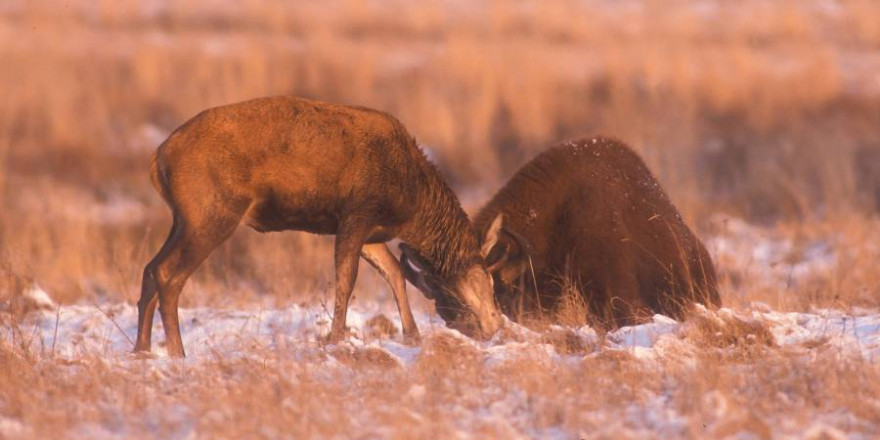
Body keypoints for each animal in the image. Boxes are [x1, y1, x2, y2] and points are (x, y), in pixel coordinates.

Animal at [132, 96, 502, 358]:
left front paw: (412, 336)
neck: (409, 202)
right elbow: (346, 280)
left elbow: (394, 273)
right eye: (487, 282)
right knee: (168, 275)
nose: (494, 323)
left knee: (150, 268)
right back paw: (178, 353)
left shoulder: (368, 231)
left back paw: (141, 349)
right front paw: (336, 339)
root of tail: (157, 157)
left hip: (183, 217)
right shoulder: (357, 214)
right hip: (212, 212)